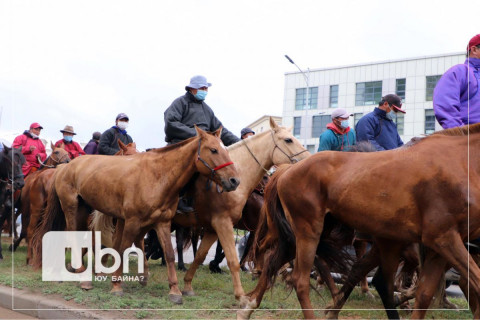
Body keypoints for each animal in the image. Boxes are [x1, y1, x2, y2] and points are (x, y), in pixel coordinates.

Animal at [31, 125, 238, 300]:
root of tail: (64, 166)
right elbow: (122, 248)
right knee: (72, 237)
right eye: (213, 150)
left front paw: (174, 290)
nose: (234, 180)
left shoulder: (162, 222)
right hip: (71, 207)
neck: (157, 176)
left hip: (83, 209)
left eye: (226, 150)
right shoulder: (131, 221)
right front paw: (116, 284)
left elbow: (168, 253)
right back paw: (83, 278)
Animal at [240, 123, 480, 320]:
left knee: (274, 261)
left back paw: (247, 308)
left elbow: (424, 295)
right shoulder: (443, 238)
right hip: (309, 229)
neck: (459, 164)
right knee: (300, 279)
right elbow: (475, 281)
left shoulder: (440, 247)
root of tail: (287, 169)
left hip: (313, 231)